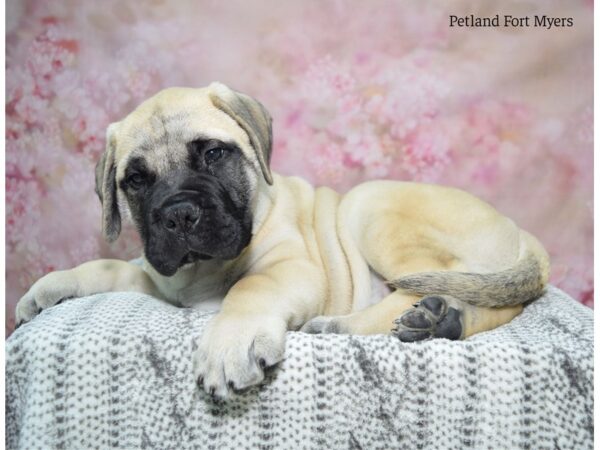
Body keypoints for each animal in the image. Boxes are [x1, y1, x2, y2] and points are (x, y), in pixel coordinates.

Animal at [15, 82, 548, 400]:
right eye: (136, 180)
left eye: (213, 154)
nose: (179, 214)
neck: (202, 272)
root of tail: (523, 234)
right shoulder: (162, 281)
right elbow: (111, 267)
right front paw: (49, 287)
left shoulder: (291, 268)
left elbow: (251, 290)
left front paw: (230, 342)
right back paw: (443, 321)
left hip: (369, 206)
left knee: (453, 288)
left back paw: (356, 324)